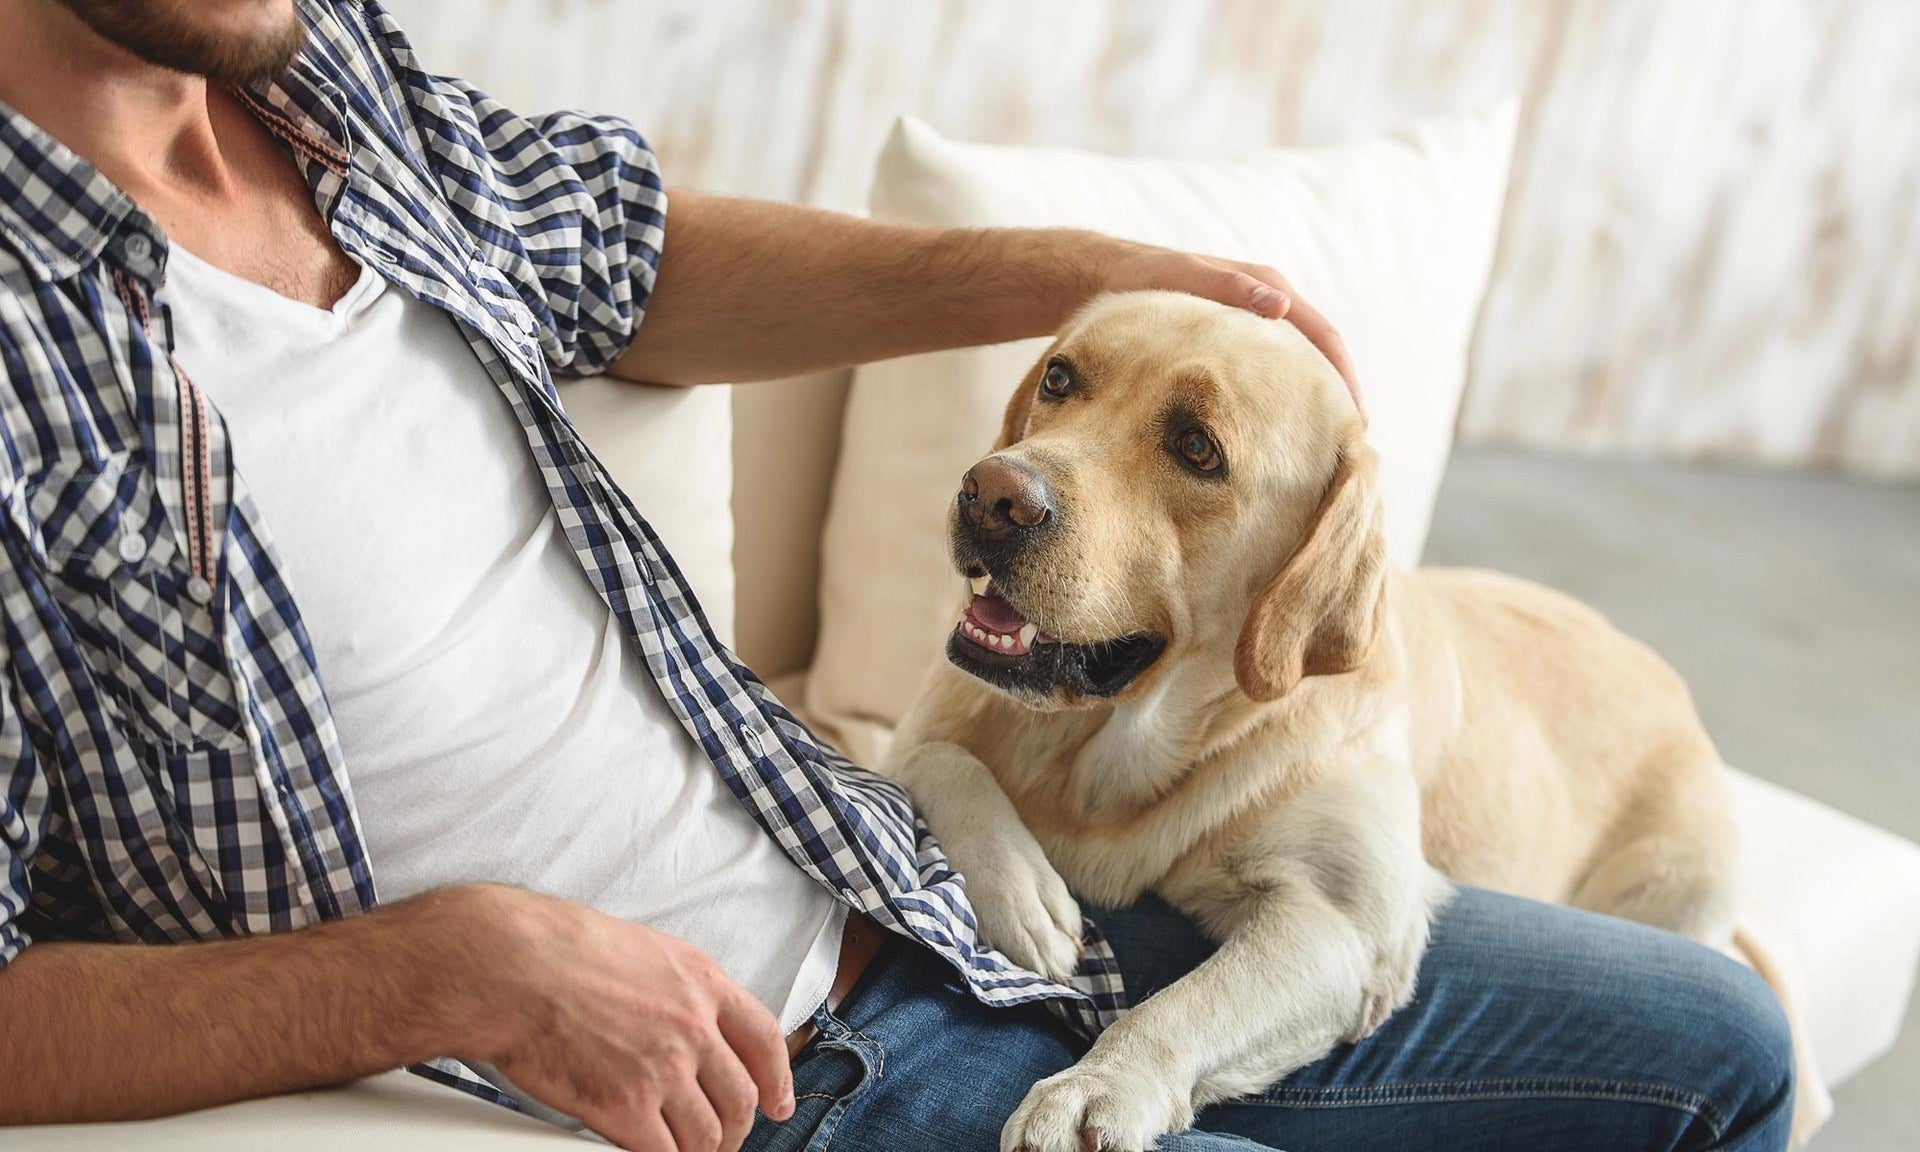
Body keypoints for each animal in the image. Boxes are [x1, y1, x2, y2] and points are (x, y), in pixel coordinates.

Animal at [879, 289, 1820, 1152]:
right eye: (1060, 378)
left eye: (1197, 448)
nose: (992, 493)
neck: (1112, 752)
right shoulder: (917, 727)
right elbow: (937, 760)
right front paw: (1025, 898)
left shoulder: (1346, 928)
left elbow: (1180, 1009)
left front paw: (1096, 1087)